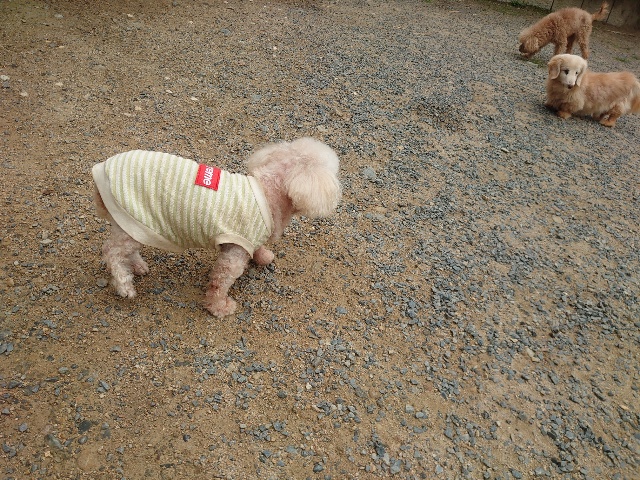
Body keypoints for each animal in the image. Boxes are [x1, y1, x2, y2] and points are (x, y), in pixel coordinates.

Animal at [92, 137, 341, 317]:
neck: (269, 192)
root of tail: (101, 168)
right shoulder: (235, 251)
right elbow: (220, 282)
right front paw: (220, 307)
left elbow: (257, 249)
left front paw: (263, 256)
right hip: (130, 215)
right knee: (111, 252)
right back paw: (125, 286)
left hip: (131, 224)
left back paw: (137, 266)